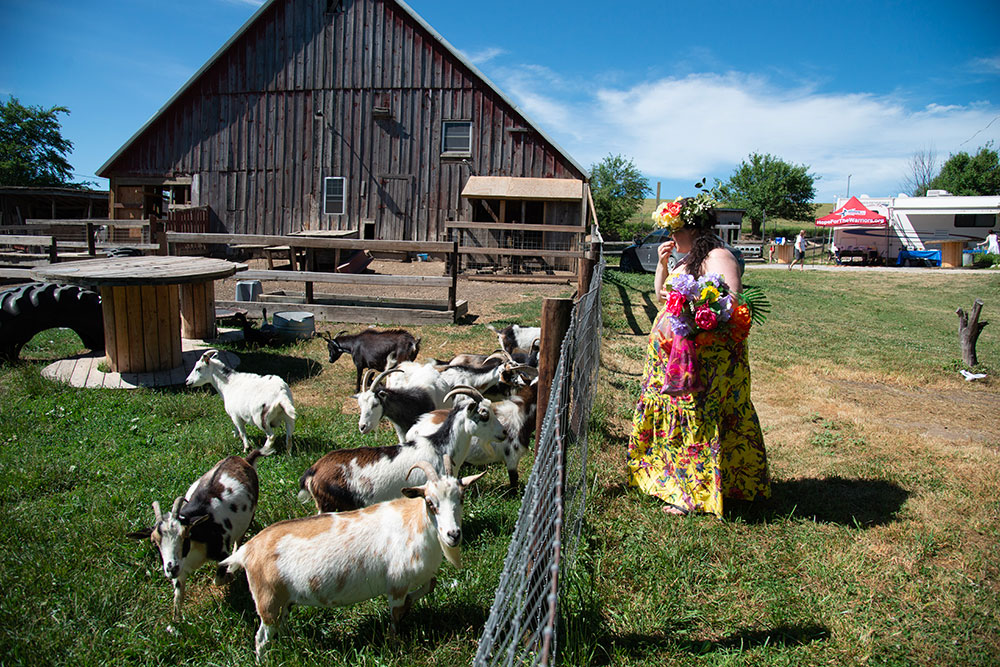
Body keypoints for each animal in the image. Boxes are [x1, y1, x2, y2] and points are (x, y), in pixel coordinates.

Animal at [127, 448, 262, 628]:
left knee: (238, 539)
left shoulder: (221, 552)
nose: (171, 568)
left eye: (185, 536)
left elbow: (218, 580)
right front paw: (175, 624)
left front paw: (230, 575)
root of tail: (243, 459)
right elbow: (178, 595)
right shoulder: (181, 568)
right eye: (155, 543)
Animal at [222, 462, 484, 660]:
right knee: (261, 637)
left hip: (284, 601)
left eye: (461, 498)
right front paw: (395, 644)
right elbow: (395, 616)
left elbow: (431, 585)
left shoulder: (421, 576)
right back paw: (264, 659)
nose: (453, 534)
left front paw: (411, 604)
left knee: (280, 626)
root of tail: (247, 550)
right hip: (268, 601)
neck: (414, 524)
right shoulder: (396, 584)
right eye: (430, 502)